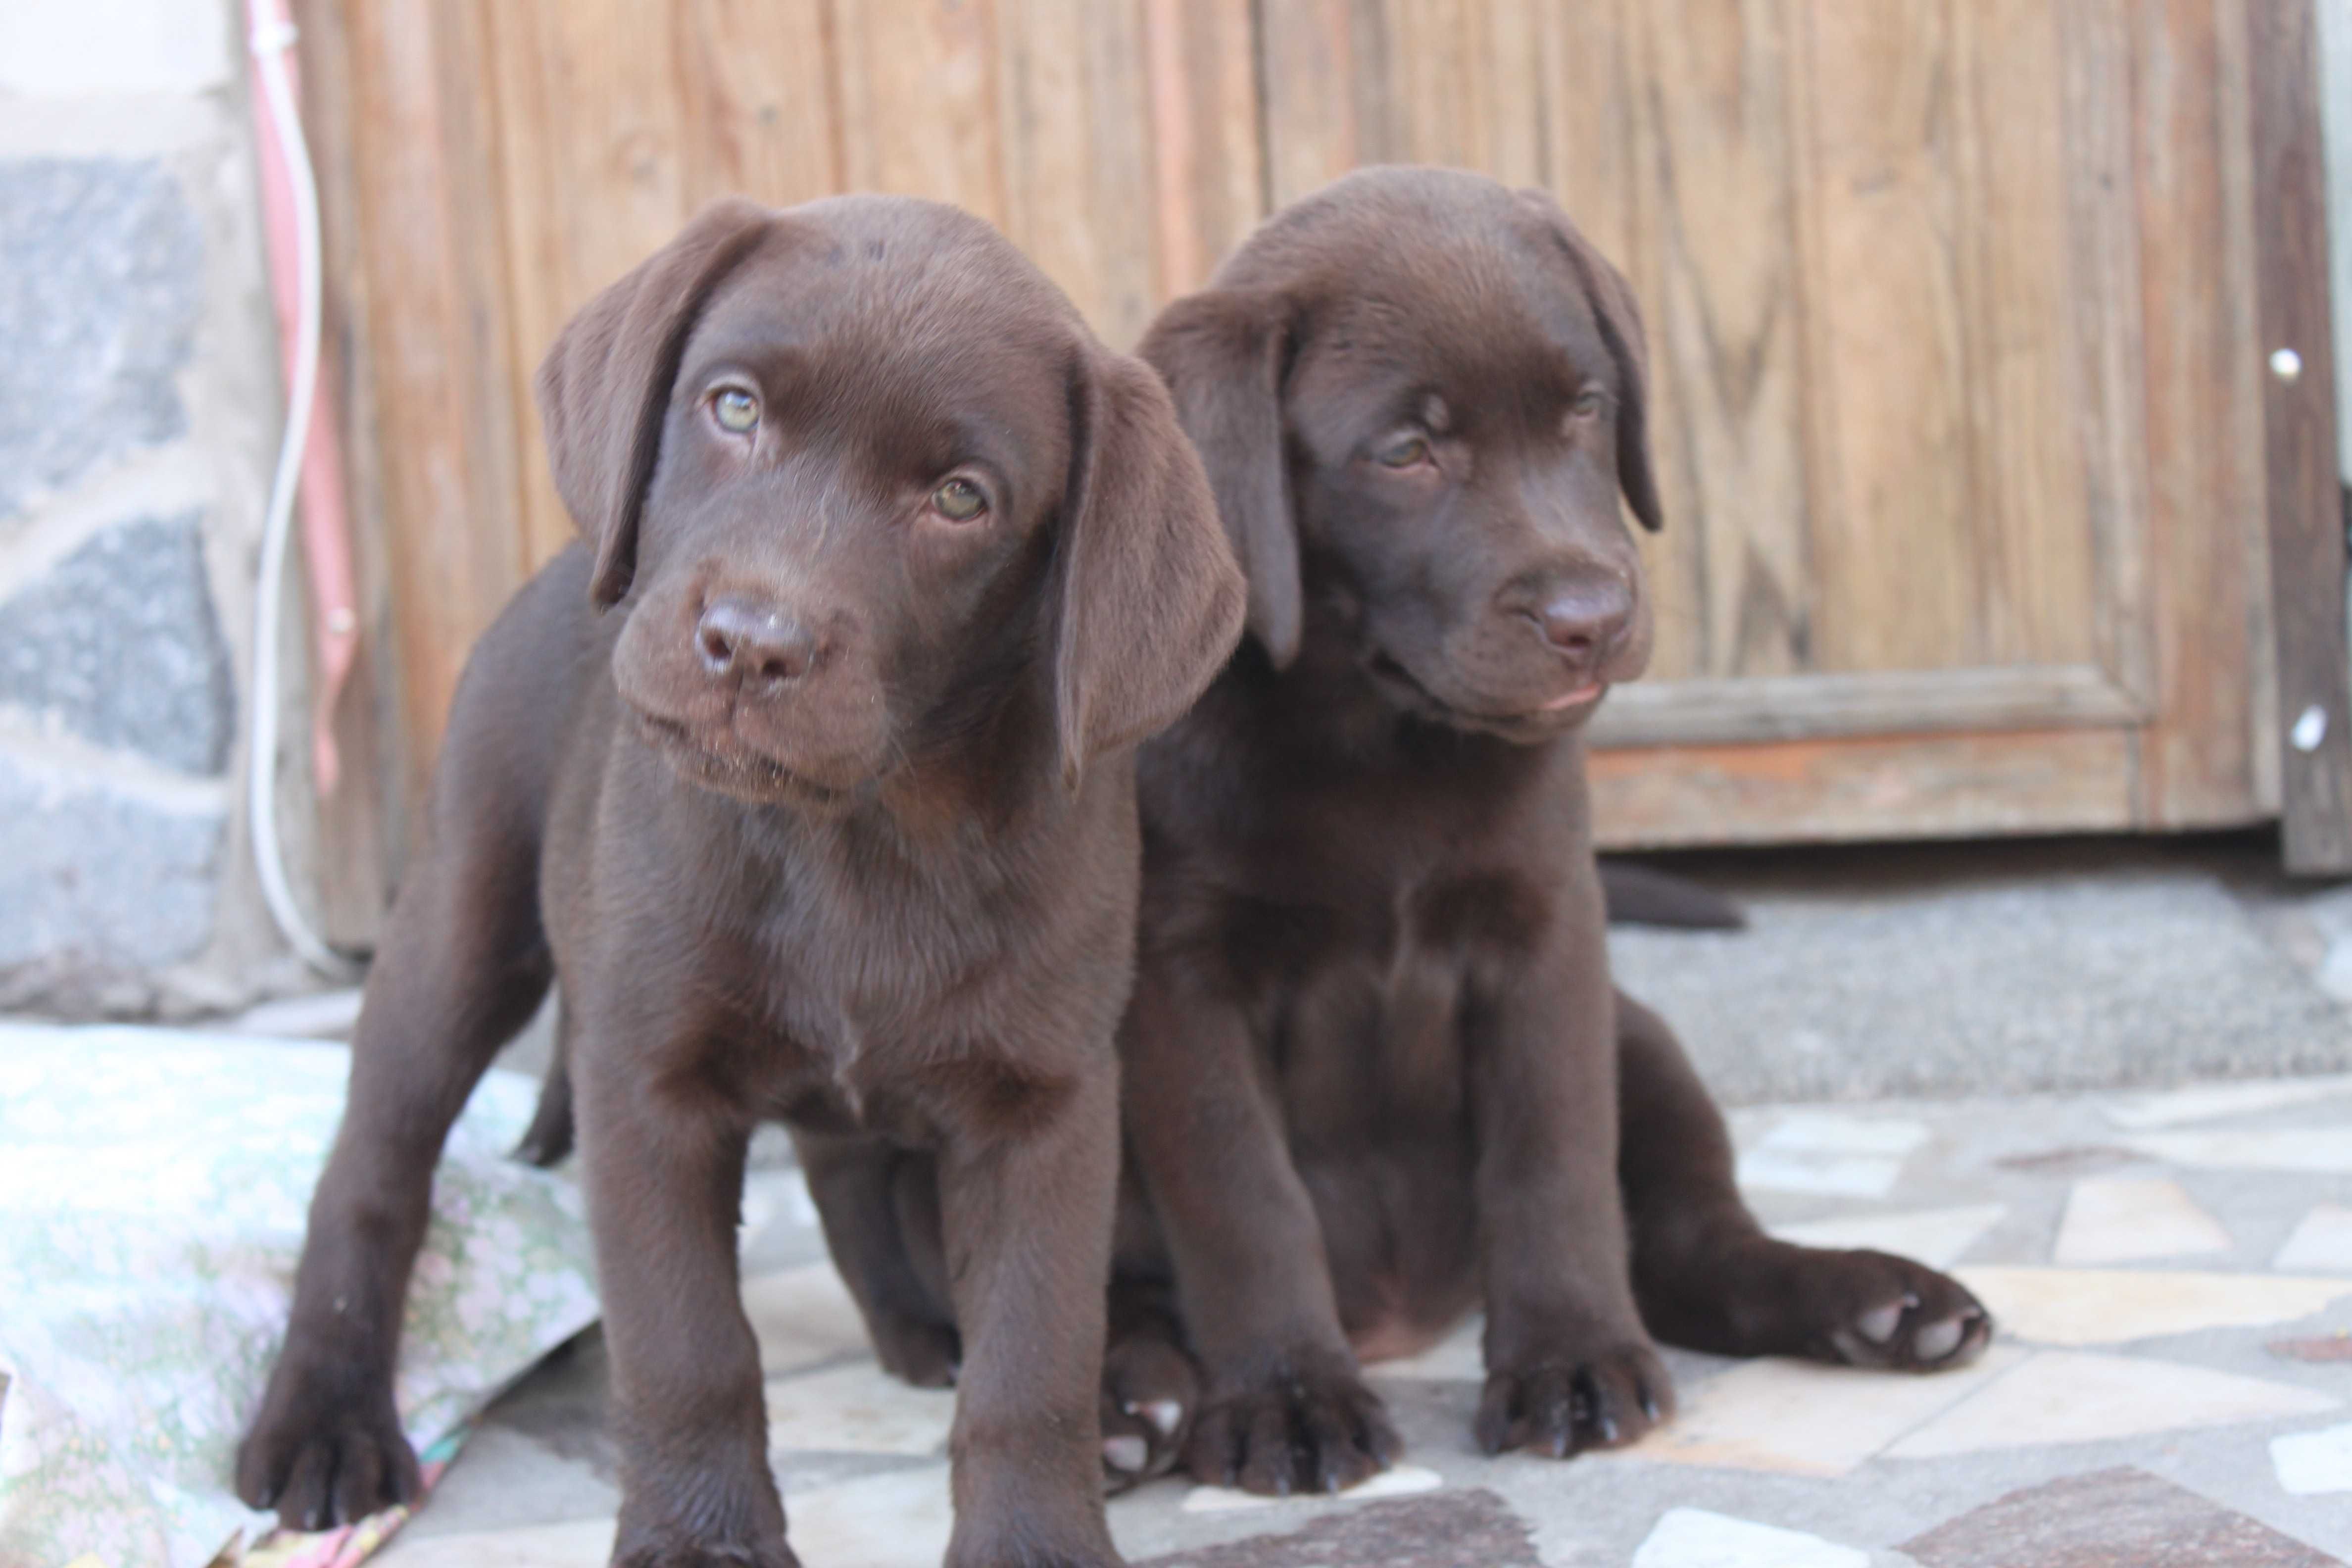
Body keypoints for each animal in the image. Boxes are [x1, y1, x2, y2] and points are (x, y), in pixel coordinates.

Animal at [1091, 171, 1994, 1495]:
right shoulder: (1180, 978)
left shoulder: (1548, 936)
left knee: (1691, 1250)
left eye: (1585, 408)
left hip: (1644, 1039)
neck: (1372, 734)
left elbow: (1550, 1157)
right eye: (1405, 451)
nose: (1591, 616)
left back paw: (1874, 1302)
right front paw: (1288, 1396)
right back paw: (1128, 1397)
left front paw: (1568, 1358)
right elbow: (1242, 1197)